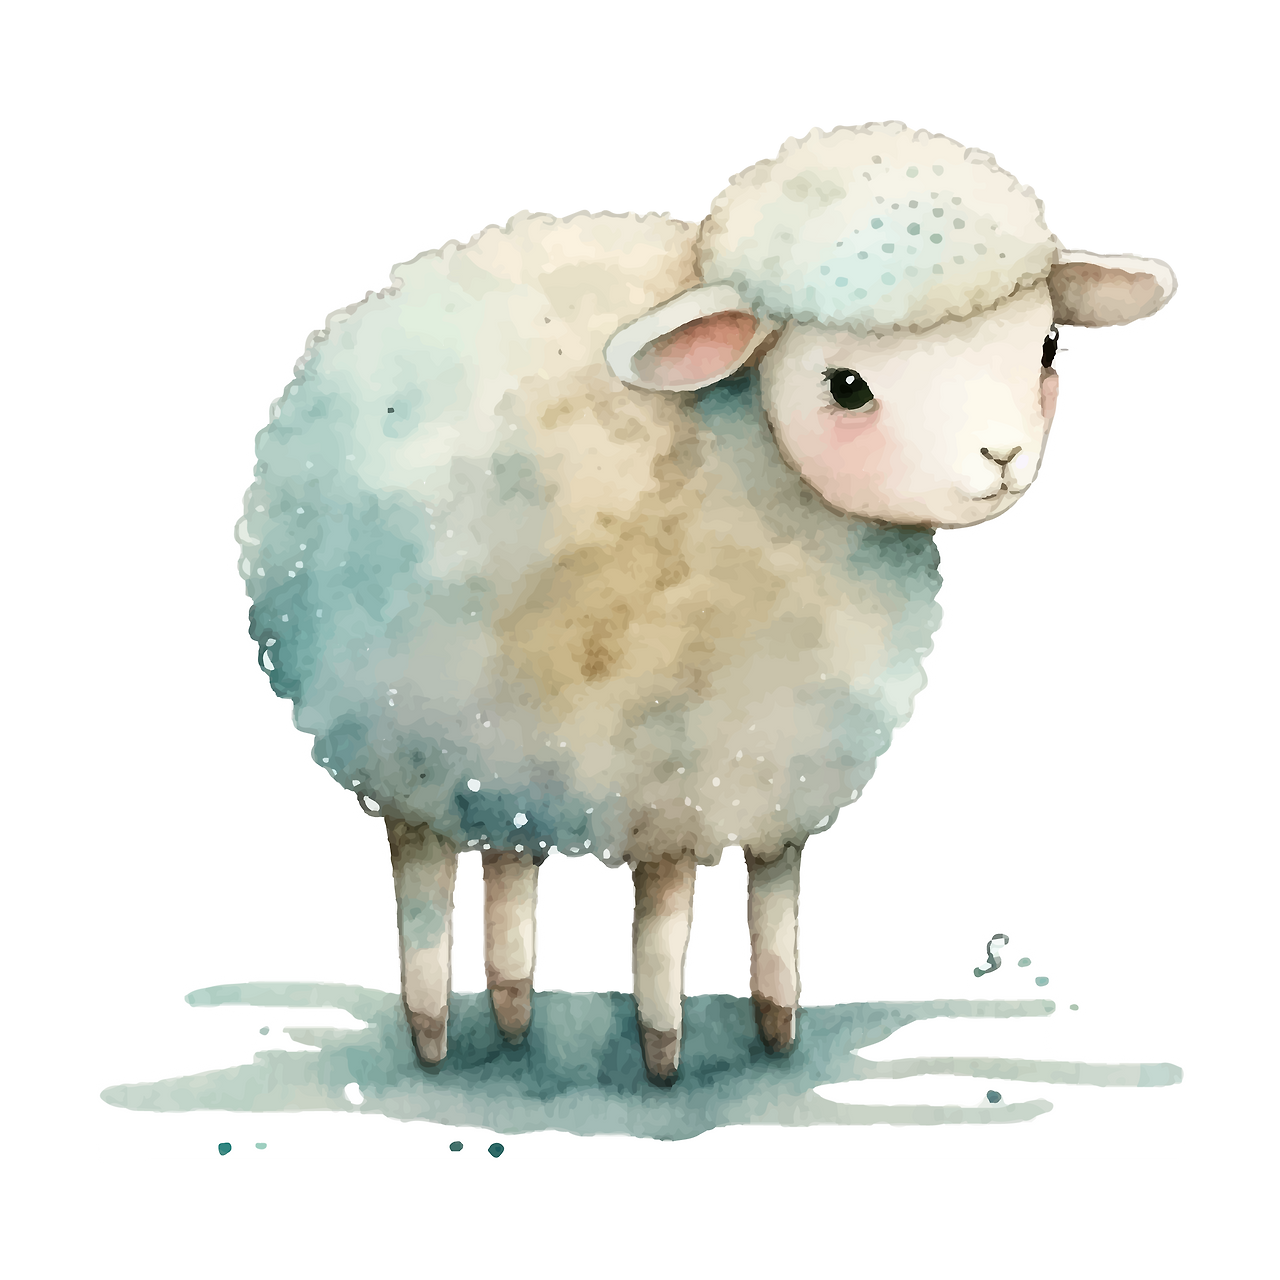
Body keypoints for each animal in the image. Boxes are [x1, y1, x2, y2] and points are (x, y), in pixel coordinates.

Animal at [228, 119, 1179, 1087]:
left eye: (1046, 349)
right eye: (846, 387)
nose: (1002, 459)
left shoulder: (785, 756)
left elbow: (775, 895)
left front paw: (779, 1032)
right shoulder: (671, 767)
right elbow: (663, 921)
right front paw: (662, 1059)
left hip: (504, 742)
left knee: (507, 861)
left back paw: (513, 1014)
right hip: (407, 739)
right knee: (423, 880)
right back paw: (432, 1038)